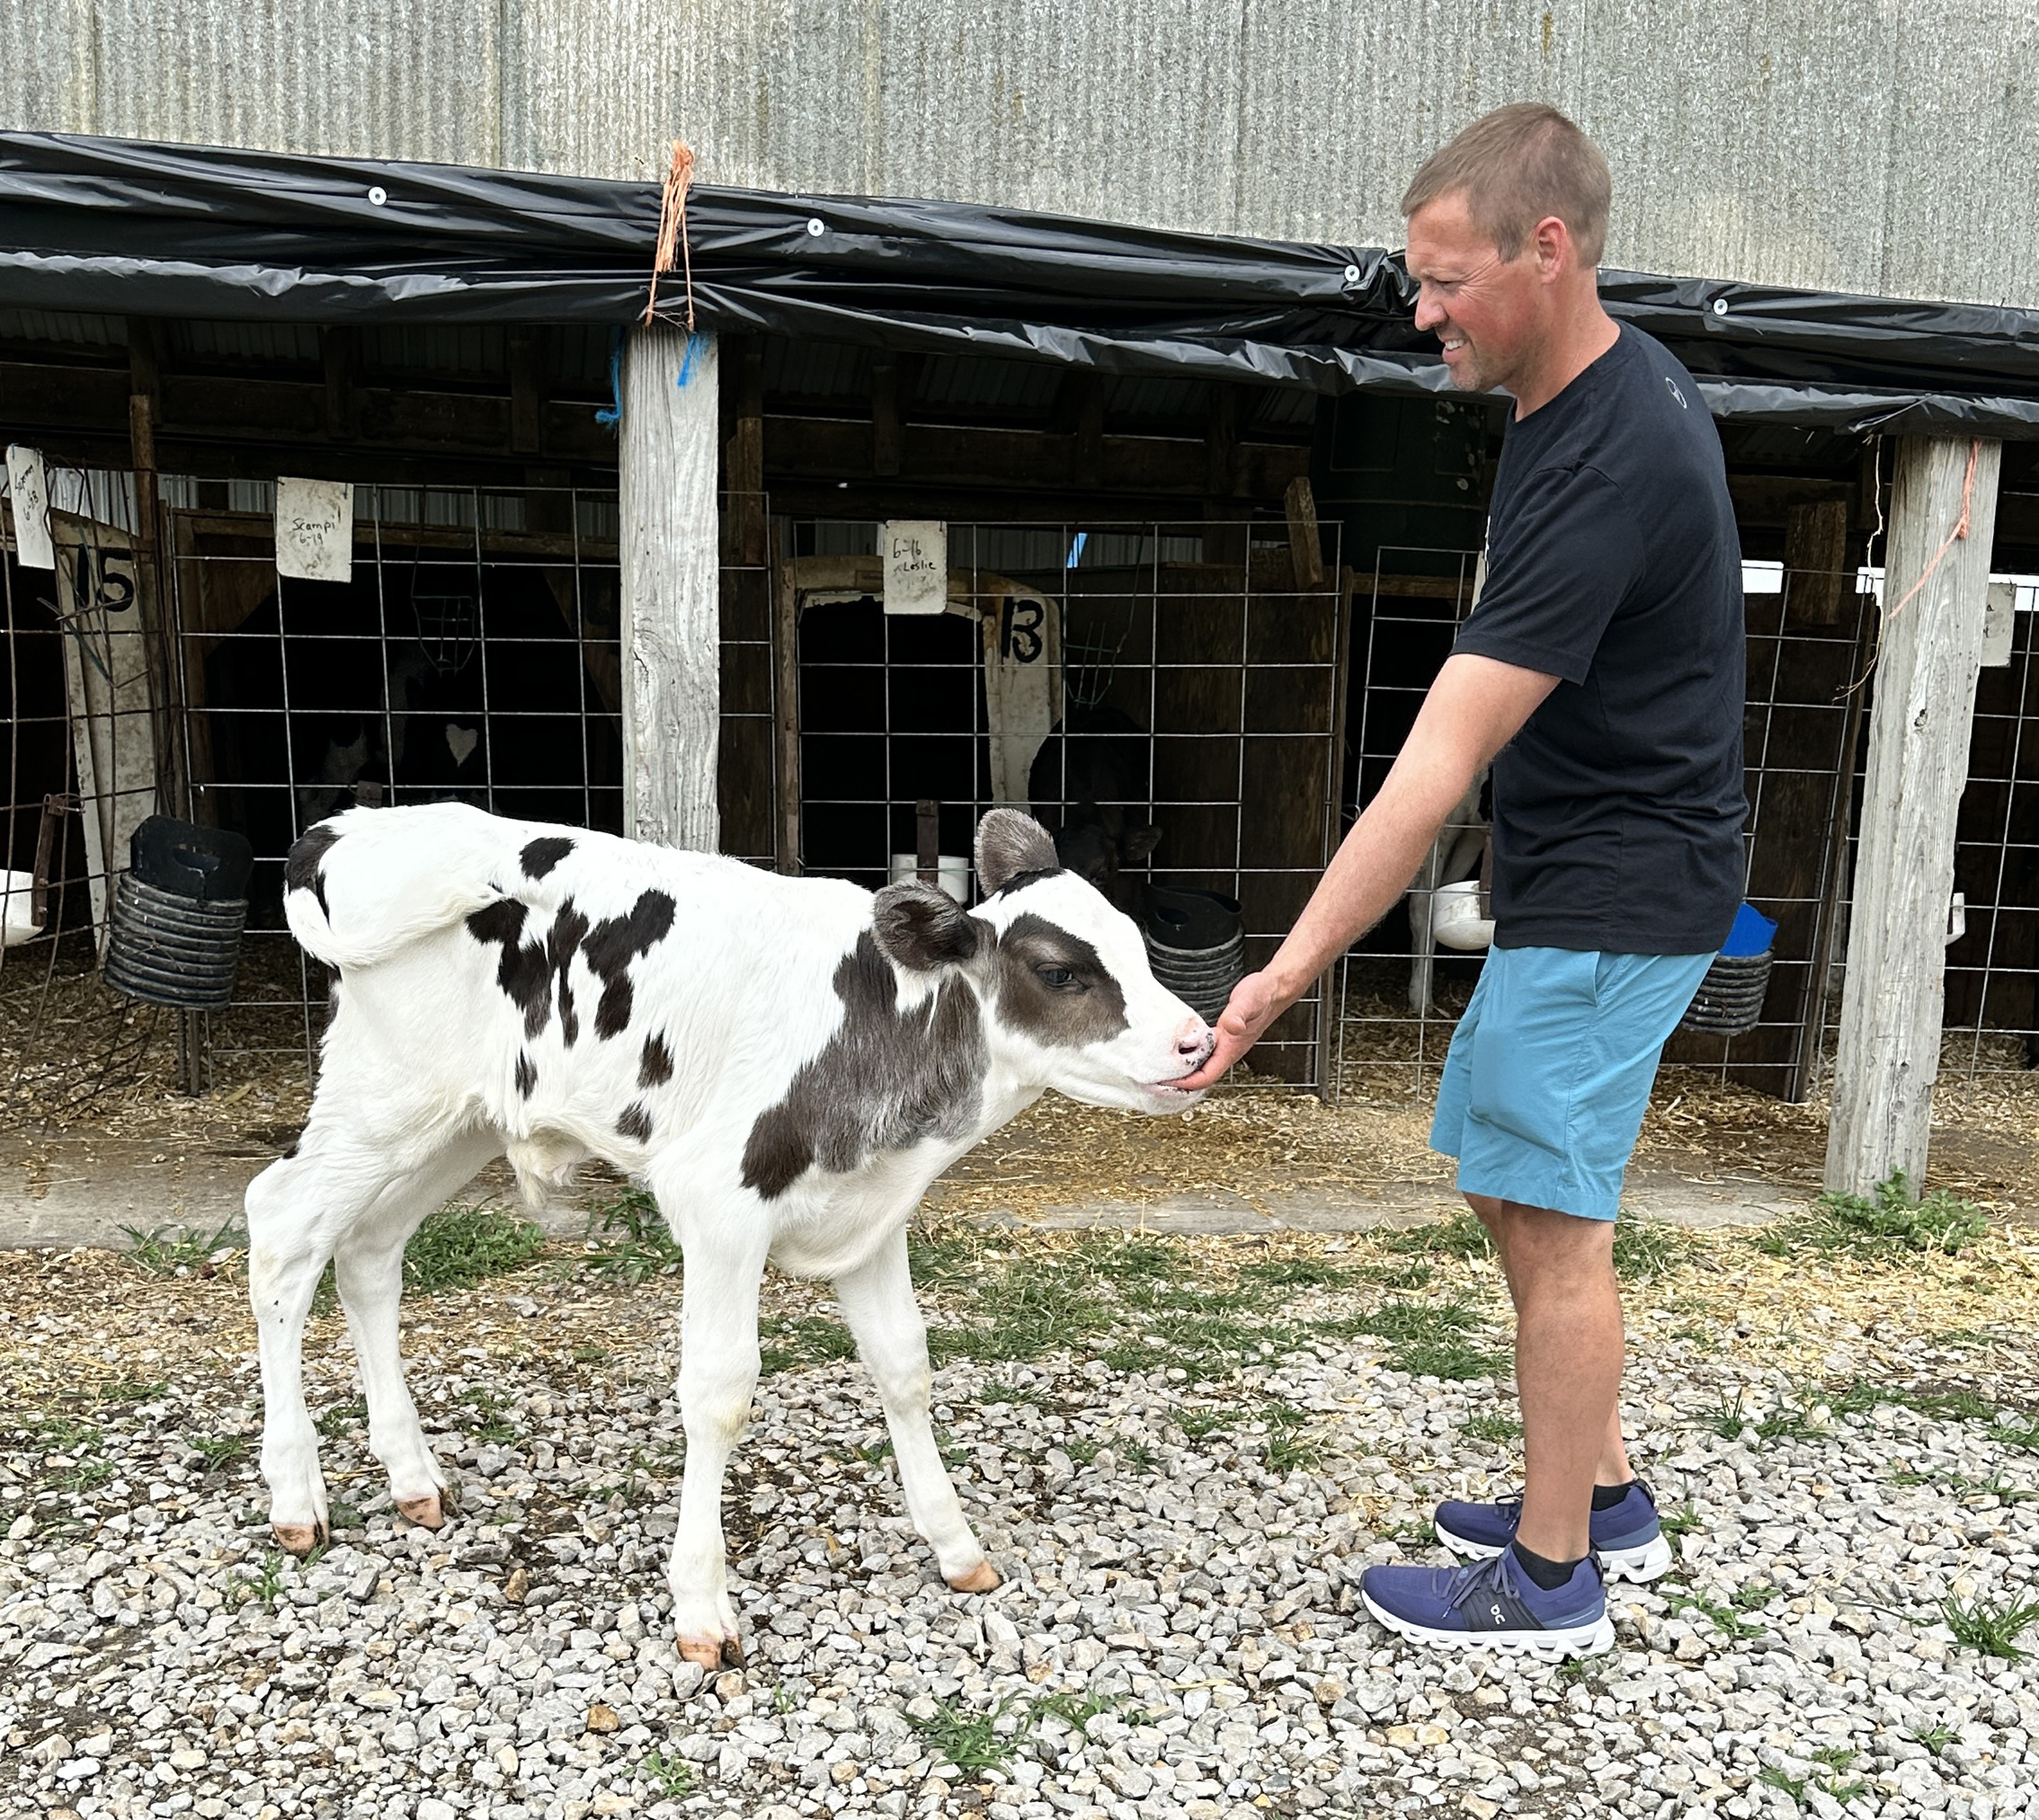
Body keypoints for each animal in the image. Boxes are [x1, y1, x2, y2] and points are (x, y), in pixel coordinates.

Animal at [249, 806, 1215, 1663]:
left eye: (1135, 942)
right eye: (1059, 972)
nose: (1197, 1041)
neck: (880, 1027)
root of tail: (350, 827)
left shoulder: (871, 1214)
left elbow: (903, 1365)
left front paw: (955, 1546)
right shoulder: (718, 1206)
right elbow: (720, 1392)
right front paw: (701, 1606)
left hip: (458, 1120)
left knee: (368, 1250)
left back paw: (412, 1478)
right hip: (384, 1099)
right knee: (283, 1226)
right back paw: (294, 1495)